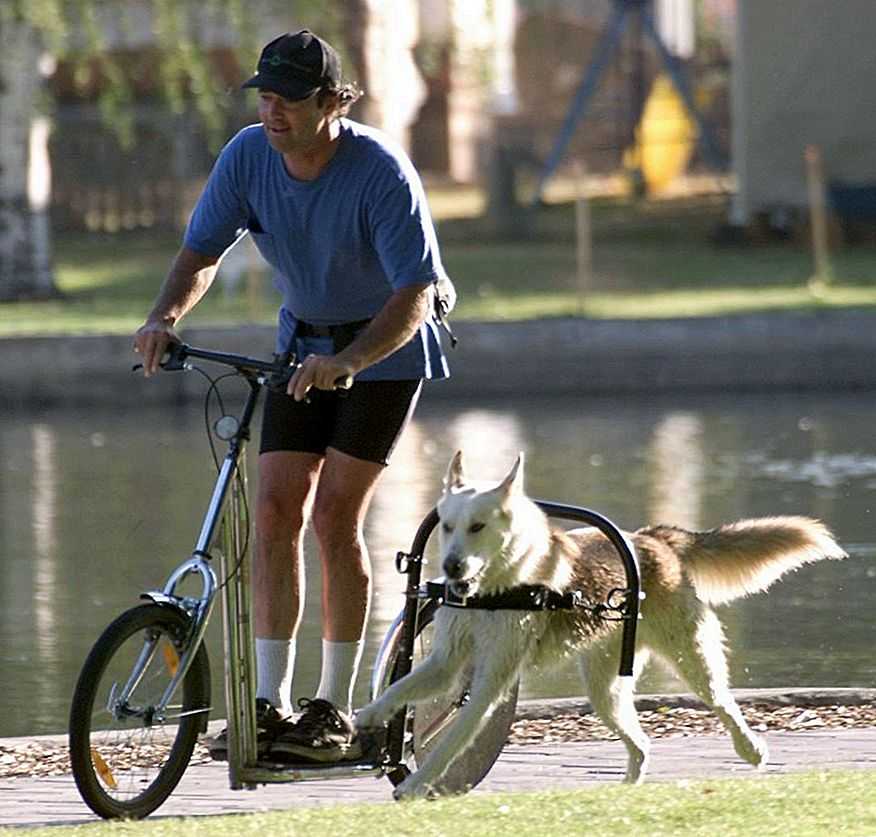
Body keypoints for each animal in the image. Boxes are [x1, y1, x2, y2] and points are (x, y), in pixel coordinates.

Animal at [352, 450, 844, 796]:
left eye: (478, 527)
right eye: (448, 526)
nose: (452, 567)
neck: (497, 587)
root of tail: (654, 539)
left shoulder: (489, 683)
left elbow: (450, 743)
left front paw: (416, 785)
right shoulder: (447, 662)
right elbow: (399, 689)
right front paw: (367, 716)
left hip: (692, 659)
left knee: (723, 703)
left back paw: (752, 750)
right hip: (605, 689)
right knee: (641, 743)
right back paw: (625, 790)